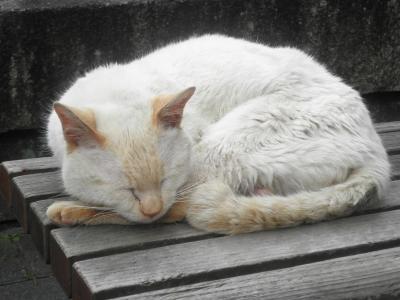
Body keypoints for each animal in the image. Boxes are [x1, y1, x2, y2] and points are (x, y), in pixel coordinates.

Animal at [44, 34, 390, 234]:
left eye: (166, 179)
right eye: (125, 188)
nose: (151, 209)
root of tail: (379, 152)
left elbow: (167, 207)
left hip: (219, 146)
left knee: (184, 207)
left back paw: (67, 212)